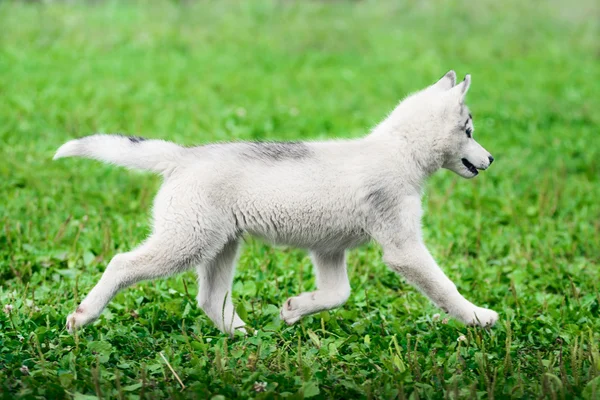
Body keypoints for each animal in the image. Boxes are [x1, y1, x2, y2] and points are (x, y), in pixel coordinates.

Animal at [55, 71, 496, 334]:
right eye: (469, 131)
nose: (491, 159)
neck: (401, 151)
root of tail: (183, 156)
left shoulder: (329, 250)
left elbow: (338, 294)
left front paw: (294, 309)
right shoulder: (403, 249)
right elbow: (444, 288)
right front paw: (478, 316)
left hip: (220, 245)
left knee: (209, 299)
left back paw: (243, 337)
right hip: (186, 242)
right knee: (121, 263)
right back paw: (83, 315)